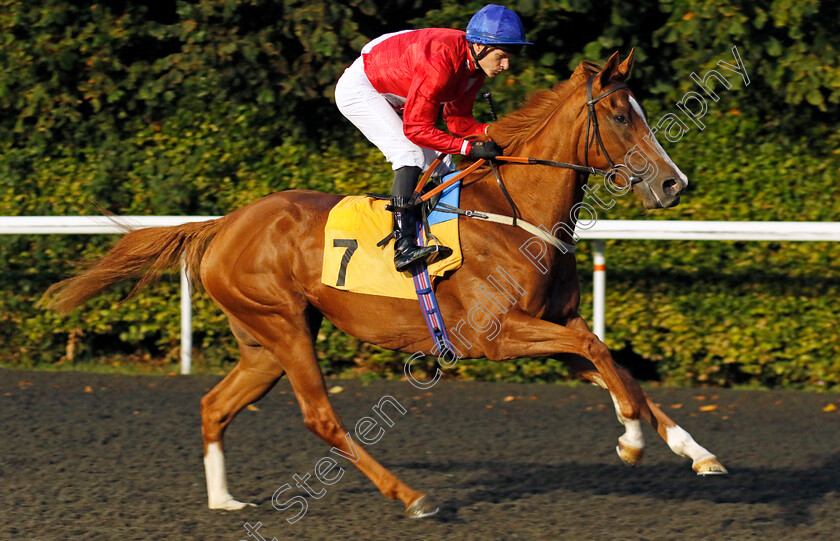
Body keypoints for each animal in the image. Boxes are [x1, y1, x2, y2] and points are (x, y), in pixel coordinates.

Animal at [44, 51, 728, 520]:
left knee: (217, 405)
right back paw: (412, 496)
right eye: (618, 115)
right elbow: (602, 357)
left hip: (263, 341)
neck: (514, 211)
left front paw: (695, 451)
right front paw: (632, 443)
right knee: (320, 416)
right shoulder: (497, 336)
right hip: (284, 328)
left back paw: (224, 501)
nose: (674, 184)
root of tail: (225, 223)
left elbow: (615, 365)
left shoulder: (555, 325)